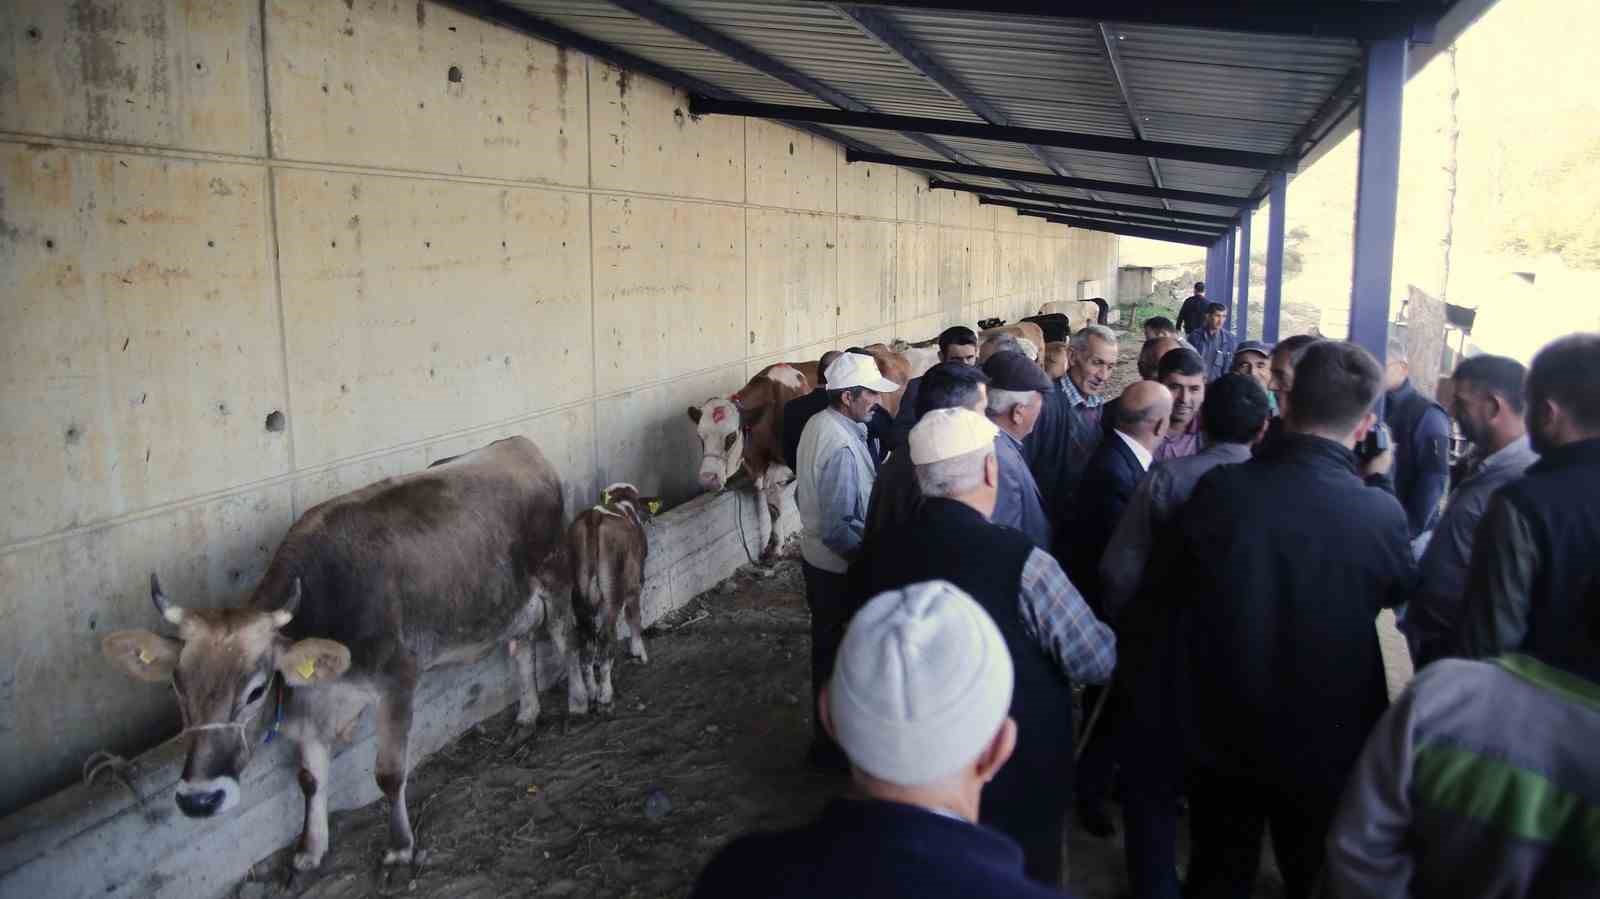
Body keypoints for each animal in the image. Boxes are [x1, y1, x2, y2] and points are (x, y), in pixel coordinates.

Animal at [100, 435, 576, 870]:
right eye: (177, 688)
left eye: (256, 691)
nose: (199, 800)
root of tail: (516, 444)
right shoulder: (310, 707)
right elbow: (310, 780)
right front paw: (311, 848)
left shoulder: (398, 681)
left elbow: (389, 773)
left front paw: (400, 846)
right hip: (509, 604)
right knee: (521, 646)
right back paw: (527, 715)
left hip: (554, 580)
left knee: (565, 638)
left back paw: (576, 701)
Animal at [569, 479, 656, 710]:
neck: (620, 503)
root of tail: (594, 516)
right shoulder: (635, 583)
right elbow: (634, 616)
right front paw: (639, 651)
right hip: (613, 592)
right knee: (605, 636)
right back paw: (605, 693)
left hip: (578, 595)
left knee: (587, 638)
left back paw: (592, 691)